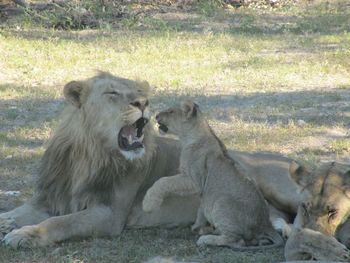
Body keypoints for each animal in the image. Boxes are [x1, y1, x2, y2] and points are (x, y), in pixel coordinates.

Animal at [143, 101, 284, 250]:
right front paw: (197, 226)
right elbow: (201, 208)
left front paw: (149, 204)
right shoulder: (202, 192)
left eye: (170, 111)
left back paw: (206, 239)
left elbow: (163, 181)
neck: (188, 137)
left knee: (237, 240)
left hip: (221, 203)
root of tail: (266, 224)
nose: (156, 115)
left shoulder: (194, 180)